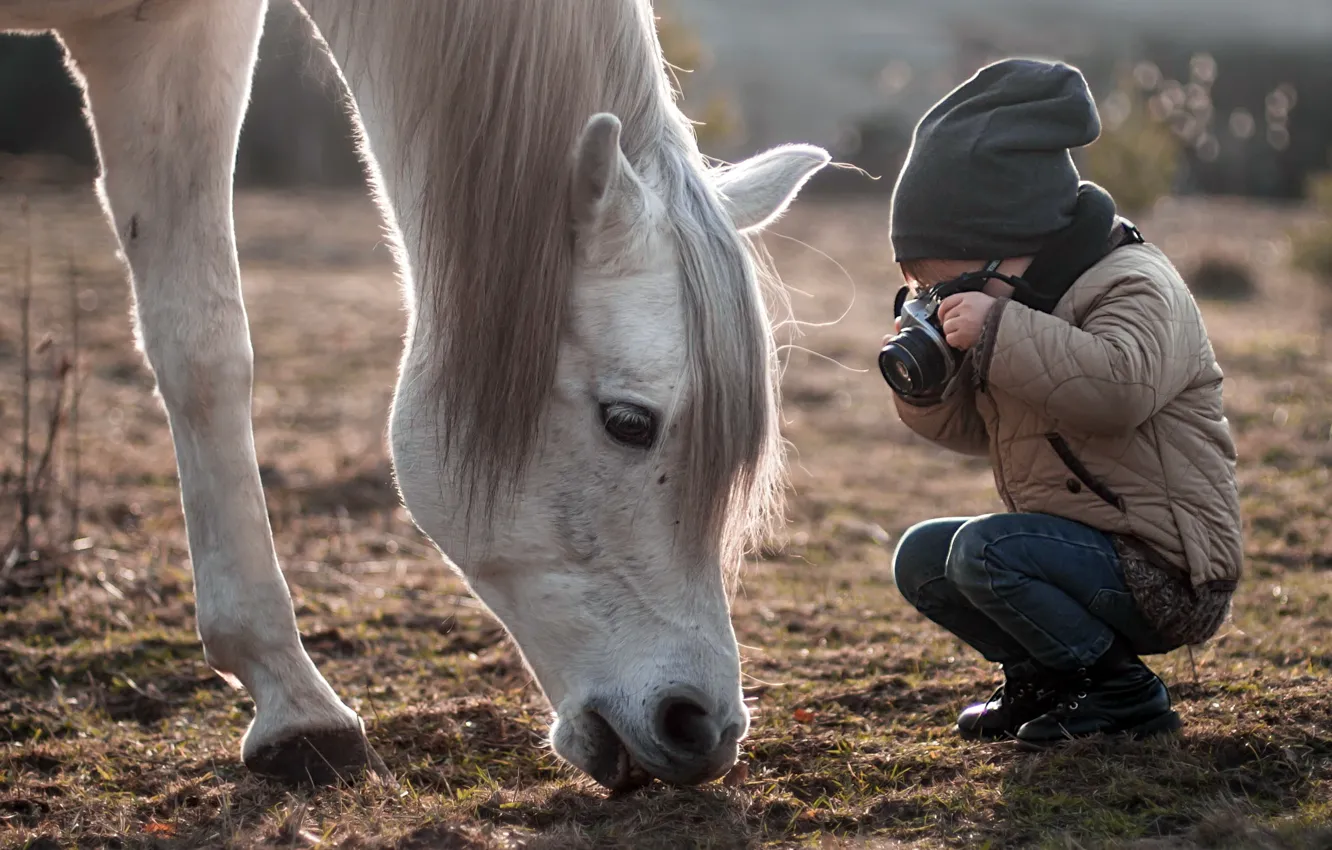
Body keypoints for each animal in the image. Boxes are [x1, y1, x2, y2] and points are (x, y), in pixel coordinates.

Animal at [1, 0, 830, 791]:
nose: (704, 728)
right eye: (629, 422)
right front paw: (296, 707)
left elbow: (200, 338)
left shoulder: (170, 32)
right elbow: (203, 354)